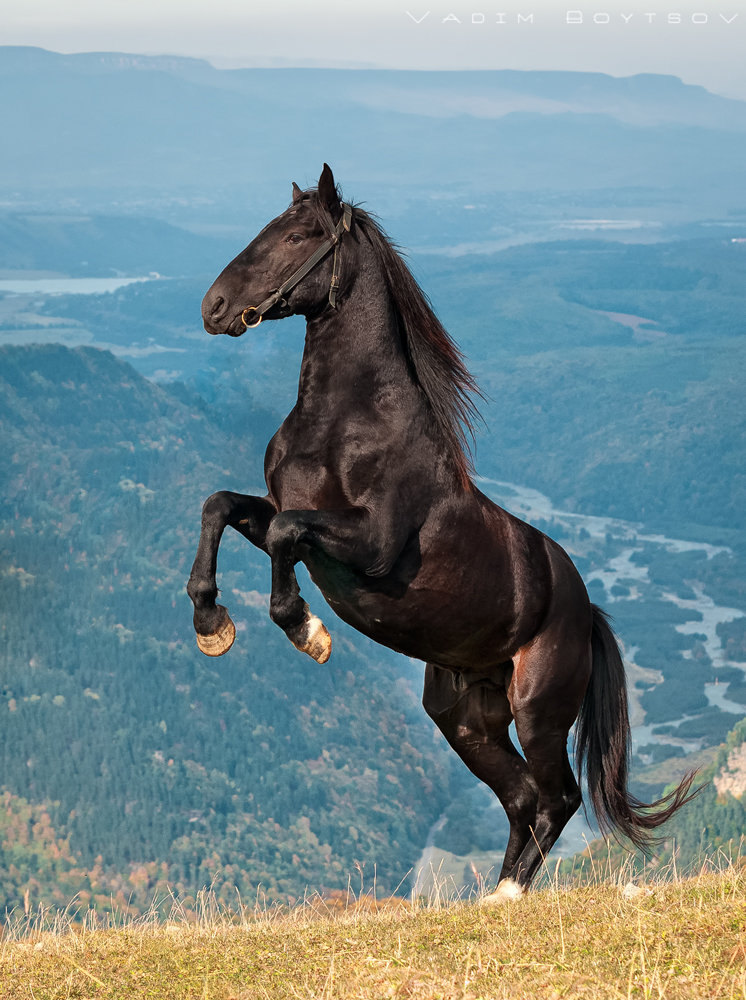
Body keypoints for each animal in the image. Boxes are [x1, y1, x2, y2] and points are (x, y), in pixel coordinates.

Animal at [187, 164, 696, 900]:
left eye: (299, 236)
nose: (215, 306)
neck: (345, 427)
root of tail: (587, 611)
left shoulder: (368, 549)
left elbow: (284, 532)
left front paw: (307, 632)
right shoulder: (292, 525)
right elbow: (221, 506)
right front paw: (212, 625)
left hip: (537, 710)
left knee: (558, 797)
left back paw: (511, 895)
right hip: (464, 717)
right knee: (521, 797)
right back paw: (494, 894)